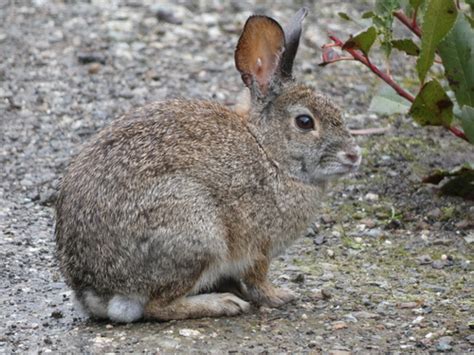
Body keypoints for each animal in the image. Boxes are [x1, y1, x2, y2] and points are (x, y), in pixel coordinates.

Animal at [54, 7, 360, 326]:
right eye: (304, 122)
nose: (353, 155)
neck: (268, 150)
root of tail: (95, 292)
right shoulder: (258, 247)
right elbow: (258, 279)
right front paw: (279, 295)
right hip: (196, 232)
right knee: (158, 306)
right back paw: (222, 303)